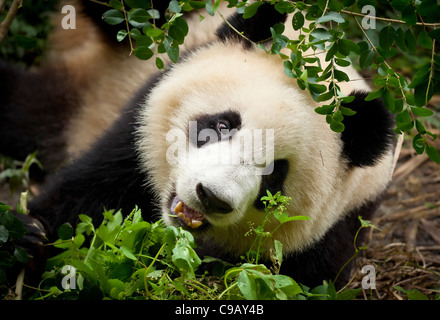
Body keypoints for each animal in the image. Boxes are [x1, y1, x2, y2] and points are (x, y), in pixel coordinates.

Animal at [13, 3, 394, 288]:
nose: (211, 197)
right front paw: (26, 236)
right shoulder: (133, 134)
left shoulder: (334, 233)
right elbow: (84, 194)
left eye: (274, 175)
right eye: (222, 125)